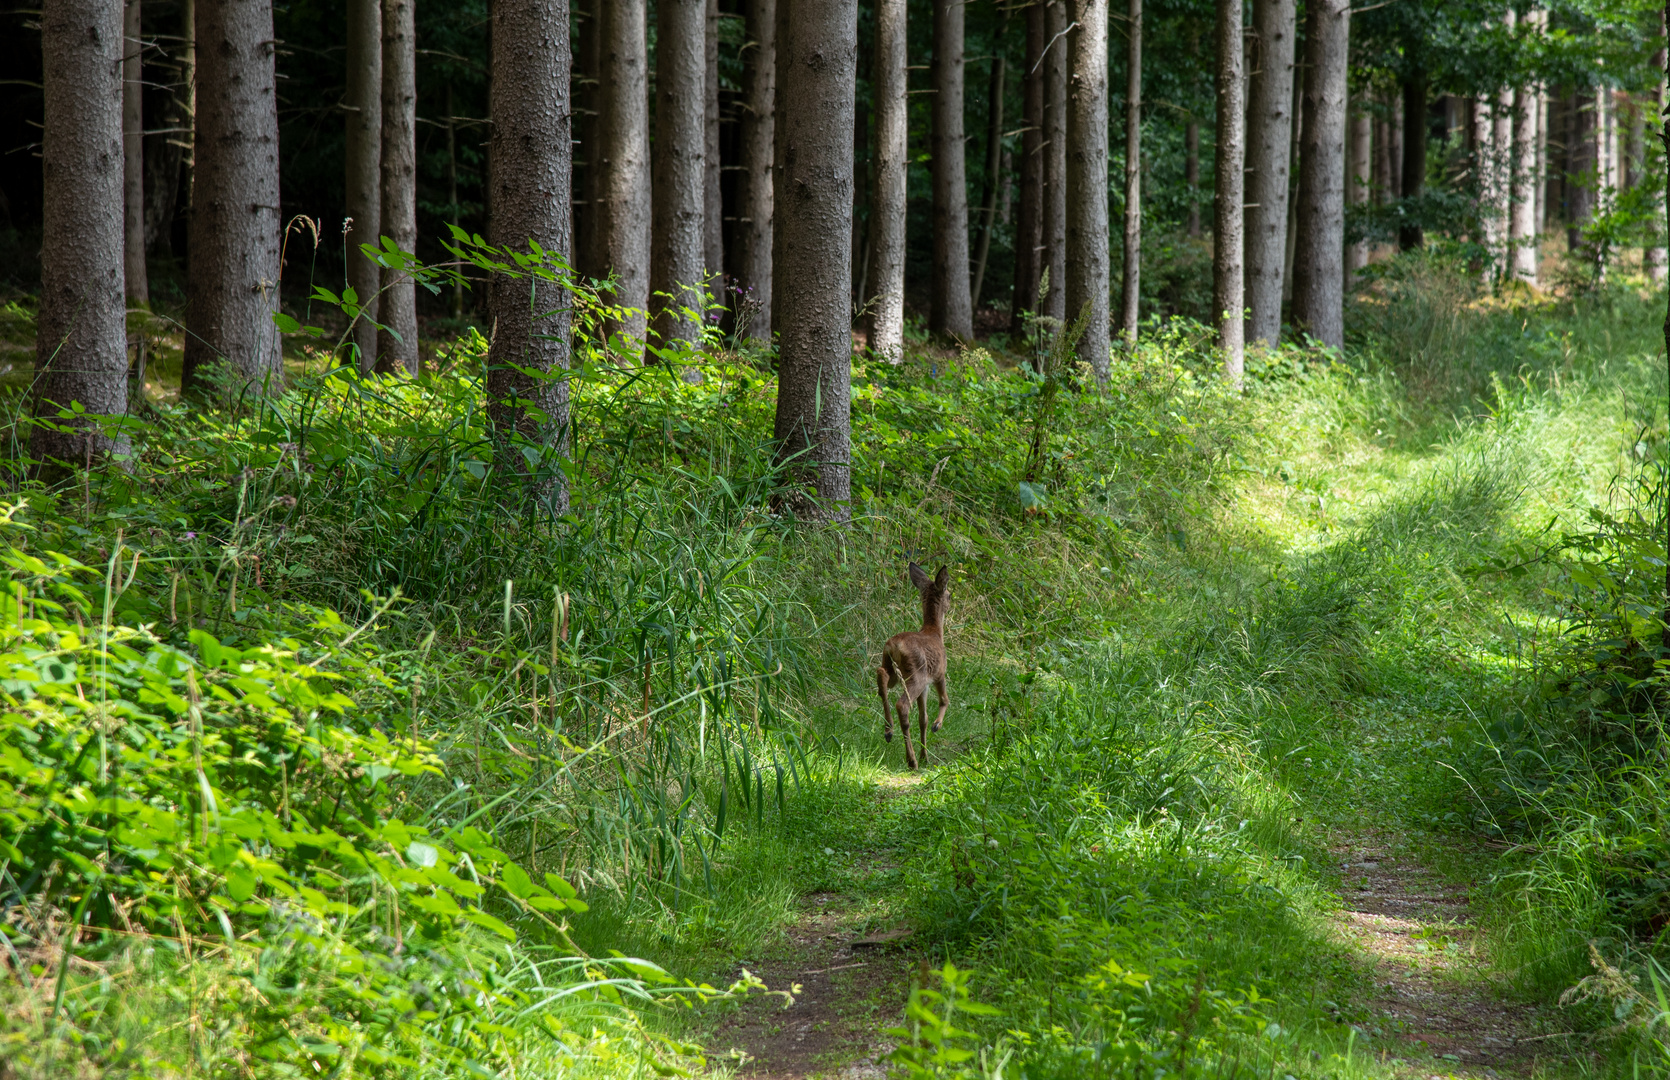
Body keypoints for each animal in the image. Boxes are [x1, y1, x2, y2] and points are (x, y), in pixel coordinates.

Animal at [875, 560, 955, 774]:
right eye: (949, 594)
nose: (951, 602)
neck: (934, 632)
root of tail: (893, 645)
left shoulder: (926, 686)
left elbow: (922, 719)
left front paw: (925, 755)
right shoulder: (938, 674)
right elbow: (944, 700)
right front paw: (937, 725)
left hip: (892, 667)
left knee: (881, 675)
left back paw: (889, 730)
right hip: (916, 674)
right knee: (902, 704)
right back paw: (911, 760)